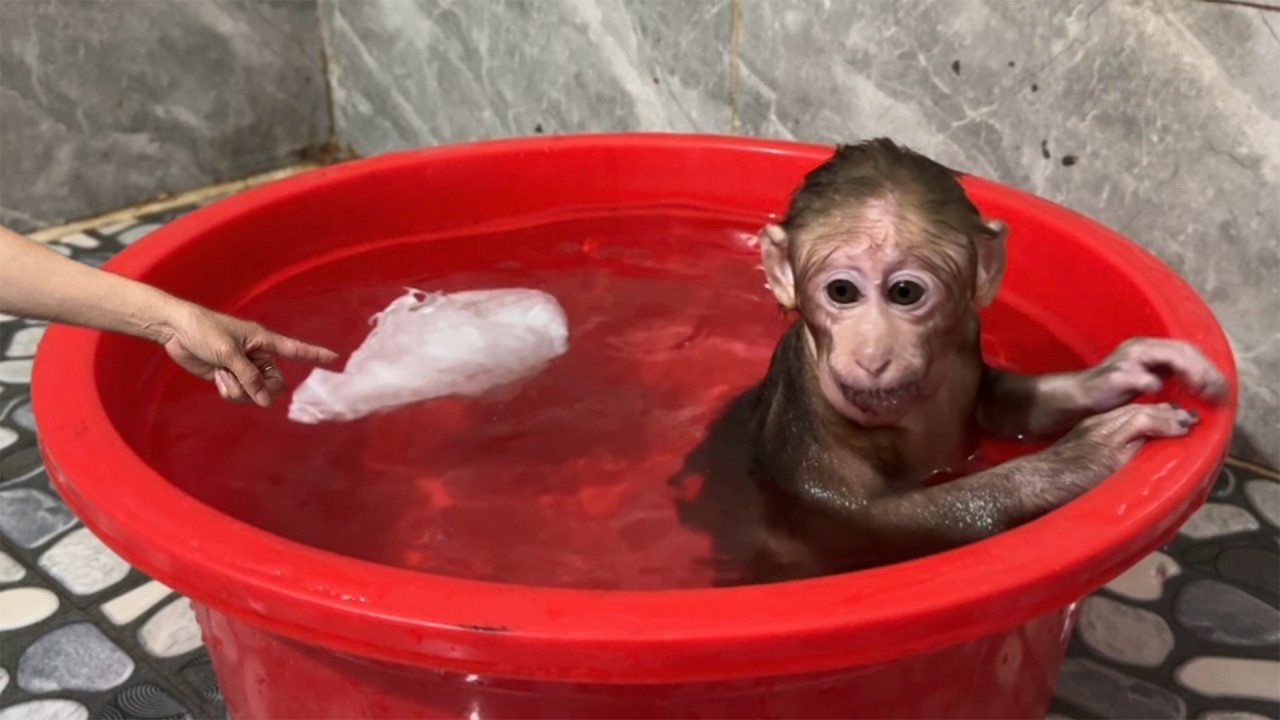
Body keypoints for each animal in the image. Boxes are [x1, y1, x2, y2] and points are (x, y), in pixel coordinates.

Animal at [740, 138, 1228, 579]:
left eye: (904, 292)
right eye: (842, 291)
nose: (872, 356)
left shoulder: (967, 339)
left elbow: (999, 405)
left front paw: (1120, 371)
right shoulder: (809, 423)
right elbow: (868, 520)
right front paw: (1073, 461)